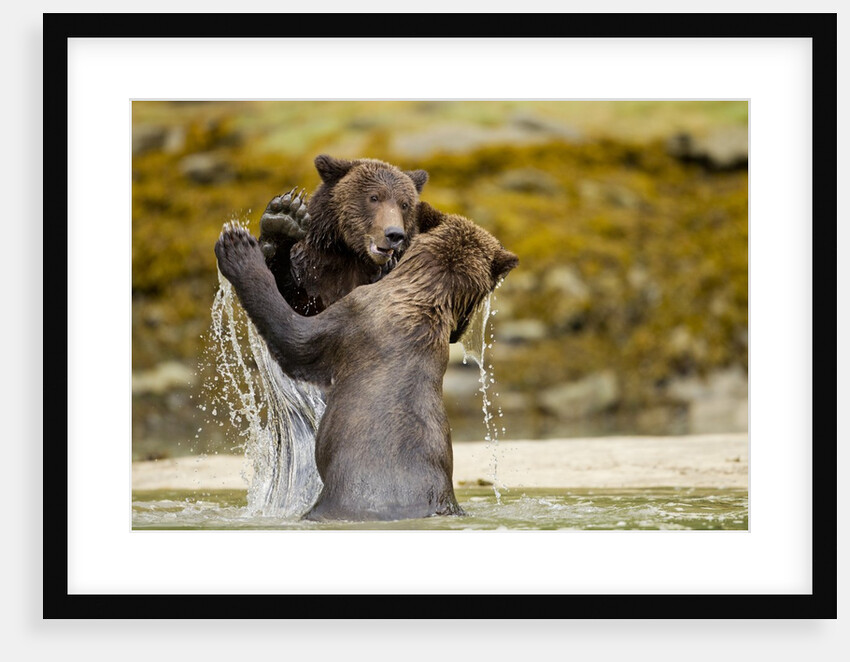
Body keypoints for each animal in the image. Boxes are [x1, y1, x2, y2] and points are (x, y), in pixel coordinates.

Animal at [214, 202, 519, 521]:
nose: (462, 329)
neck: (423, 296)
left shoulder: (352, 316)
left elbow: (293, 335)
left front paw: (238, 248)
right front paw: (283, 221)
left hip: (339, 496)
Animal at [257, 154, 429, 316]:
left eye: (404, 204)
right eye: (374, 197)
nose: (394, 234)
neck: (350, 254)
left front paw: (387, 271)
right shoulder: (312, 274)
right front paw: (285, 218)